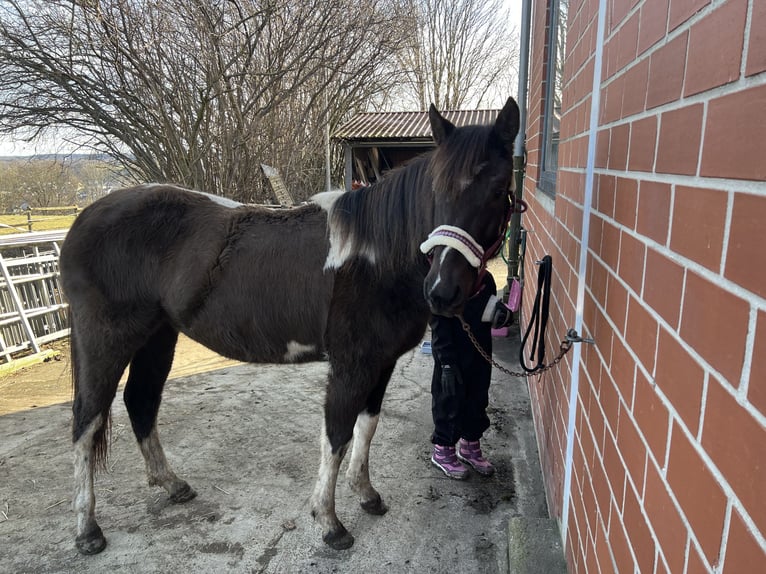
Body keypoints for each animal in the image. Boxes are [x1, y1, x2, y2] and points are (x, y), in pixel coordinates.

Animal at [59, 97, 520, 554]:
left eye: (499, 190)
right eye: (437, 189)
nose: (443, 291)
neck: (376, 256)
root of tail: (85, 218)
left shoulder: (381, 363)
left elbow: (366, 427)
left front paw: (366, 495)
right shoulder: (351, 366)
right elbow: (337, 435)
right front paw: (330, 522)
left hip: (157, 336)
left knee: (140, 401)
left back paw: (172, 485)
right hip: (105, 340)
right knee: (87, 421)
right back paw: (87, 529)